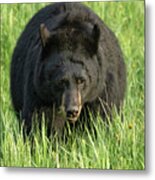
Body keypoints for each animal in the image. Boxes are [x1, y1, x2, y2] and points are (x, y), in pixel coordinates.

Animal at [10, 2, 126, 135]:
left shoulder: (103, 88)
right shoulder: (39, 91)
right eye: (60, 82)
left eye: (81, 80)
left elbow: (102, 117)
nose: (72, 111)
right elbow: (40, 121)